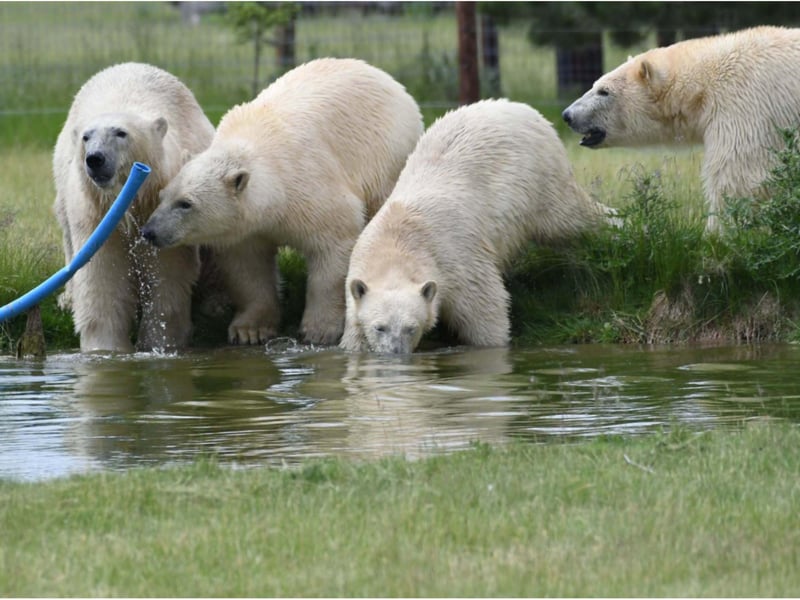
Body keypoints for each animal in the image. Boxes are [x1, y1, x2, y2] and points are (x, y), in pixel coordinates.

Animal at [53, 62, 215, 353]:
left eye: (121, 133)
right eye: (86, 137)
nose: (95, 159)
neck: (127, 203)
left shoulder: (158, 209)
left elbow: (166, 274)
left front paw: (159, 343)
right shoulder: (95, 215)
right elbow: (101, 276)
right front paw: (105, 348)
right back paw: (67, 299)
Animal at [141, 57, 424, 346]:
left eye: (185, 203)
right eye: (162, 196)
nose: (150, 231)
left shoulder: (309, 187)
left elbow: (332, 247)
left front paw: (319, 330)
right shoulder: (245, 229)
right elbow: (248, 268)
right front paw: (250, 330)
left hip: (387, 157)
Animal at [339, 99, 608, 354]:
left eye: (411, 327)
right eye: (380, 327)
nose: (396, 353)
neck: (399, 238)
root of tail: (521, 107)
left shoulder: (456, 258)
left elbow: (485, 306)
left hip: (540, 178)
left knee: (567, 217)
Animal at [561, 26, 800, 233]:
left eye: (604, 91)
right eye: (594, 84)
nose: (567, 115)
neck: (703, 85)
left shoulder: (746, 105)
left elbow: (738, 178)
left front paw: (715, 235)